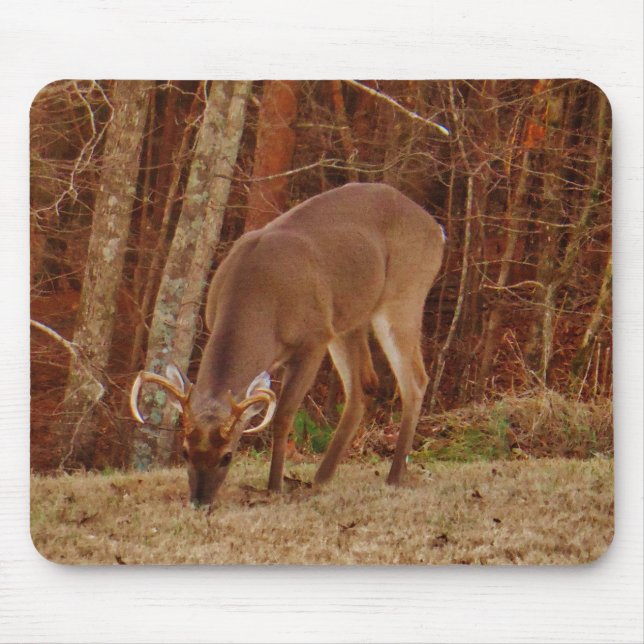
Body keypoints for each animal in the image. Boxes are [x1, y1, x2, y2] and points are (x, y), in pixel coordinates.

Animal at [130, 183, 445, 507]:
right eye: (185, 452)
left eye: (227, 456)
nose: (199, 501)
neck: (260, 301)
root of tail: (436, 228)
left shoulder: (313, 340)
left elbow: (282, 416)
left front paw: (274, 485)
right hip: (346, 320)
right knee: (363, 387)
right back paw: (322, 477)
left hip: (403, 295)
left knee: (415, 380)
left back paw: (394, 476)